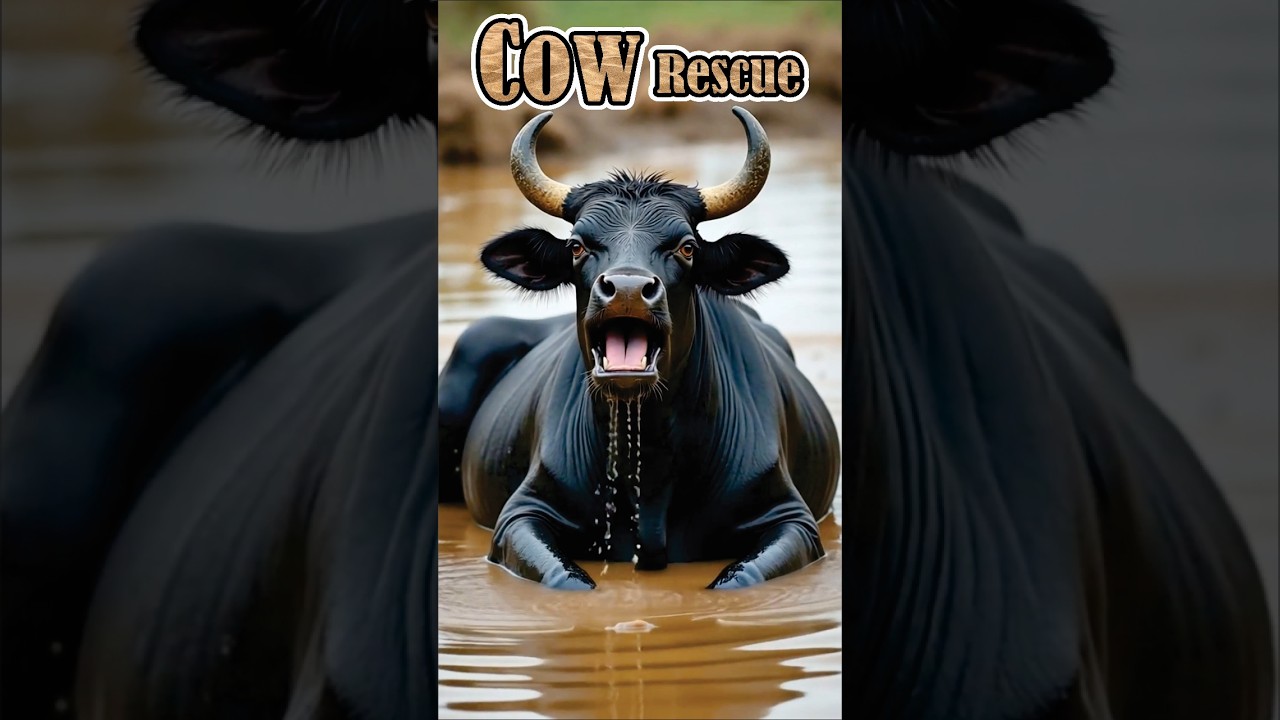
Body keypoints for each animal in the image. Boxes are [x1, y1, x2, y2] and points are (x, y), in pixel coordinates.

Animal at [438, 107, 840, 590]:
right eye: (577, 246)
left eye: (686, 247)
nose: (627, 290)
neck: (650, 456)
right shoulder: (520, 514)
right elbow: (567, 580)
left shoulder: (793, 518)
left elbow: (737, 578)